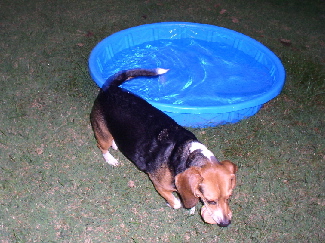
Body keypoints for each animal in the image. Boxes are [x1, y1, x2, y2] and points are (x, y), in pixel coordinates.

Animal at [90, 68, 237, 226]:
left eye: (228, 197)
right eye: (212, 201)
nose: (226, 223)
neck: (185, 154)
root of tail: (109, 88)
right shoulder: (159, 185)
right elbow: (177, 203)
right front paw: (174, 203)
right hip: (103, 135)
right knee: (102, 146)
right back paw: (110, 159)